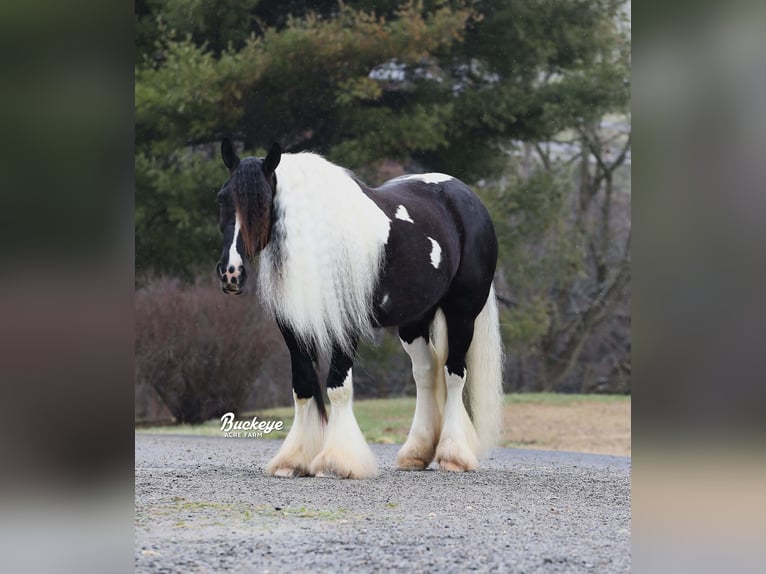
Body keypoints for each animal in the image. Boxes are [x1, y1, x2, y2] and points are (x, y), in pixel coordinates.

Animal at [214, 141, 504, 482]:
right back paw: (416, 453)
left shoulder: (347, 325)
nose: (231, 273)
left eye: (262, 203)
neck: (322, 242)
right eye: (222, 197)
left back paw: (453, 455)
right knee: (426, 372)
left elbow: (338, 387)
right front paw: (293, 460)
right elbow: (303, 388)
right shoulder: (293, 328)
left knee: (455, 374)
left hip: (462, 313)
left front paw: (336, 461)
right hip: (414, 321)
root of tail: (467, 197)